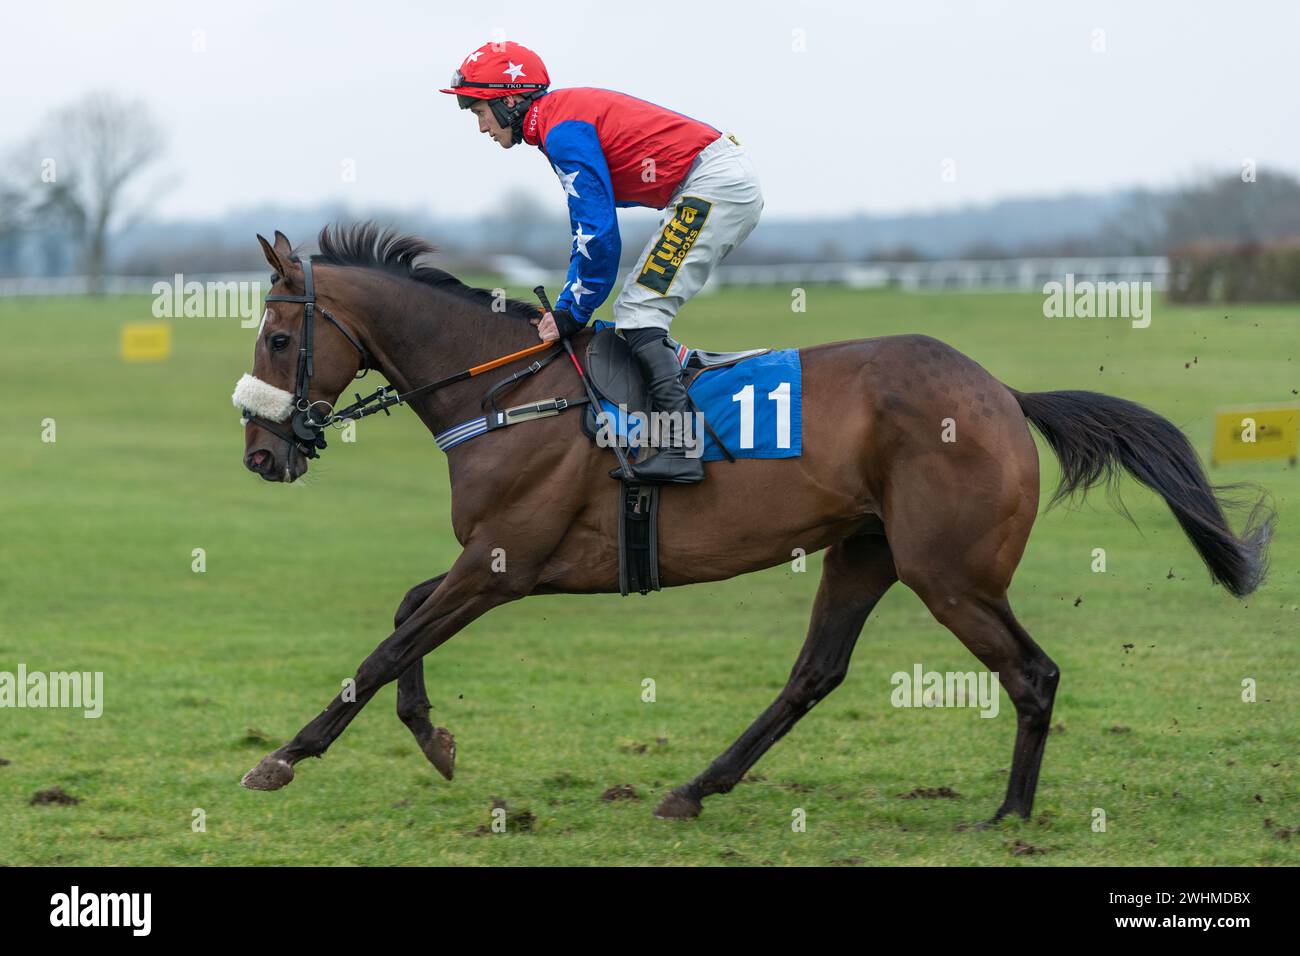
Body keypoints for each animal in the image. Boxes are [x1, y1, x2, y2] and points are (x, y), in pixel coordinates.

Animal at [231, 222, 1268, 822]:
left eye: (279, 339)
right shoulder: (502, 561)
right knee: (814, 674)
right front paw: (432, 737)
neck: (512, 389)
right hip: (867, 552)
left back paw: (1009, 817)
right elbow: (405, 621)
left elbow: (383, 648)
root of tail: (1003, 394)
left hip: (950, 573)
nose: (260, 456)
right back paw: (696, 788)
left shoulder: (503, 561)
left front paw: (283, 758)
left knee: (1033, 672)